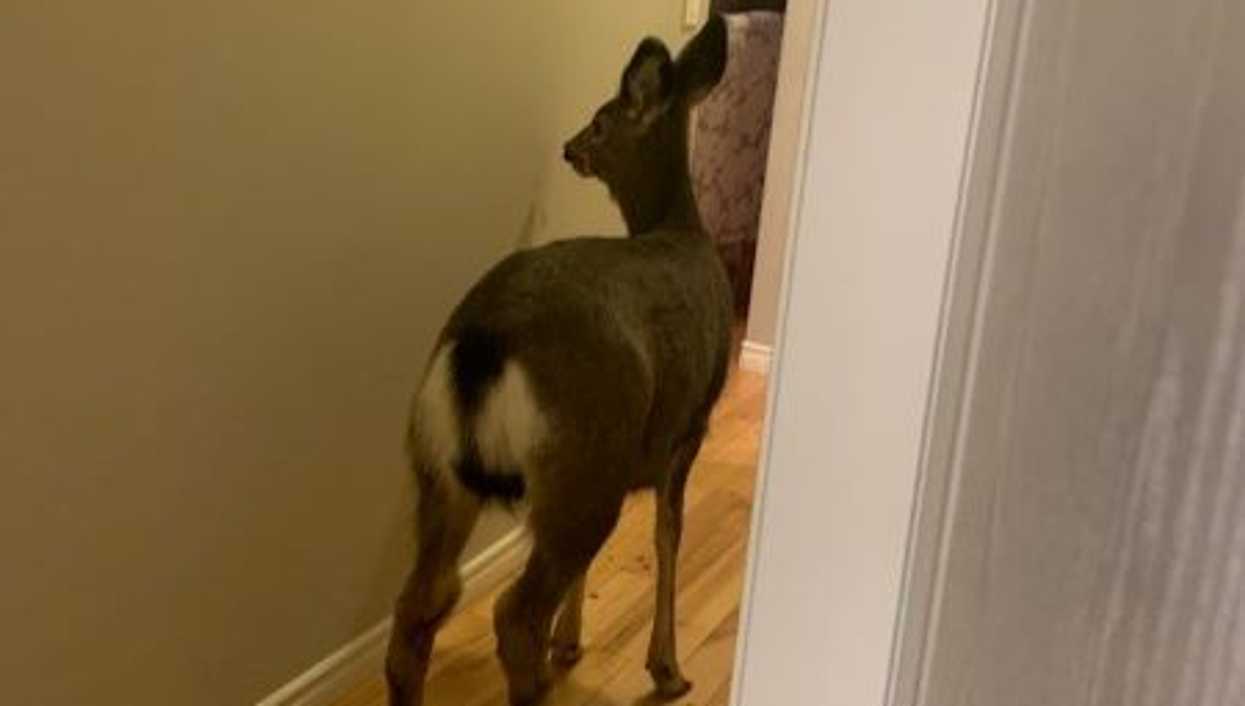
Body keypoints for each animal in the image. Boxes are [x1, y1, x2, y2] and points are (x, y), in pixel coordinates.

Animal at [384, 15, 732, 706]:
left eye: (599, 120)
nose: (571, 147)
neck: (679, 227)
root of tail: (485, 339)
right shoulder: (689, 425)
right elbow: (669, 534)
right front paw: (668, 668)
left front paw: (571, 643)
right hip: (582, 458)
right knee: (513, 614)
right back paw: (541, 671)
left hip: (439, 466)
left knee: (418, 607)